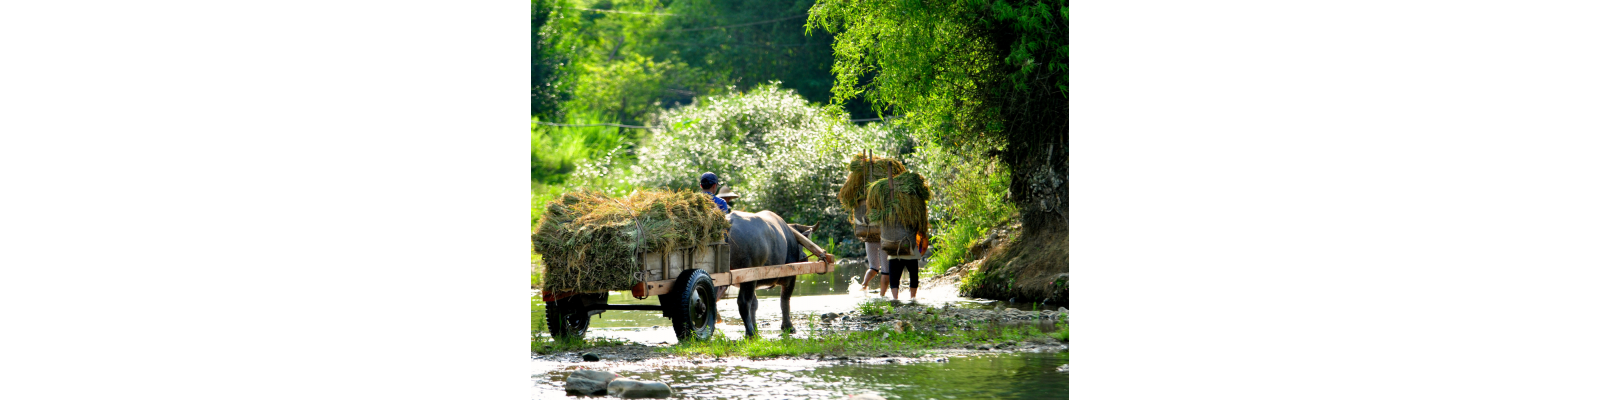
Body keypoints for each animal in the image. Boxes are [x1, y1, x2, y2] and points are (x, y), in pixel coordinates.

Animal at [729, 209, 838, 337]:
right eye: (801, 245)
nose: (804, 258)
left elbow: (755, 304)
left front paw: (755, 327)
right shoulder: (790, 277)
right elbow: (785, 300)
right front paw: (788, 326)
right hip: (748, 278)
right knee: (744, 302)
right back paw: (751, 333)